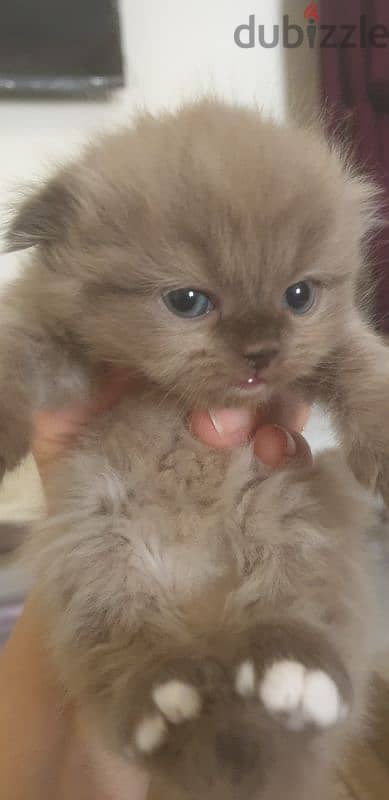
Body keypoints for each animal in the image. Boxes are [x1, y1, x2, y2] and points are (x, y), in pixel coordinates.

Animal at [0, 101, 384, 800]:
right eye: (187, 302)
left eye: (299, 296)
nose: (260, 351)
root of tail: (211, 630)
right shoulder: (52, 338)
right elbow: (12, 354)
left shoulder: (330, 346)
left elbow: (366, 366)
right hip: (98, 554)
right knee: (136, 651)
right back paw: (170, 700)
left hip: (296, 521)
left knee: (299, 618)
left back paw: (291, 676)